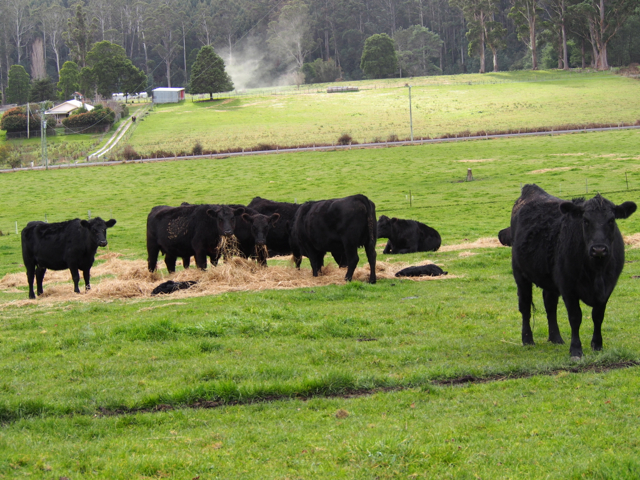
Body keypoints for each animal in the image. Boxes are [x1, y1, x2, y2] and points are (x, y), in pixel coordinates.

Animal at [510, 186, 636, 358]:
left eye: (611, 220)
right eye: (586, 220)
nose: (599, 249)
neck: (596, 271)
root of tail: (531, 189)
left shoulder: (608, 288)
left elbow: (598, 316)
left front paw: (597, 345)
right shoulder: (568, 287)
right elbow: (575, 317)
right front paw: (576, 349)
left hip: (550, 281)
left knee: (550, 305)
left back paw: (556, 338)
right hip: (520, 273)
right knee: (525, 306)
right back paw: (528, 339)